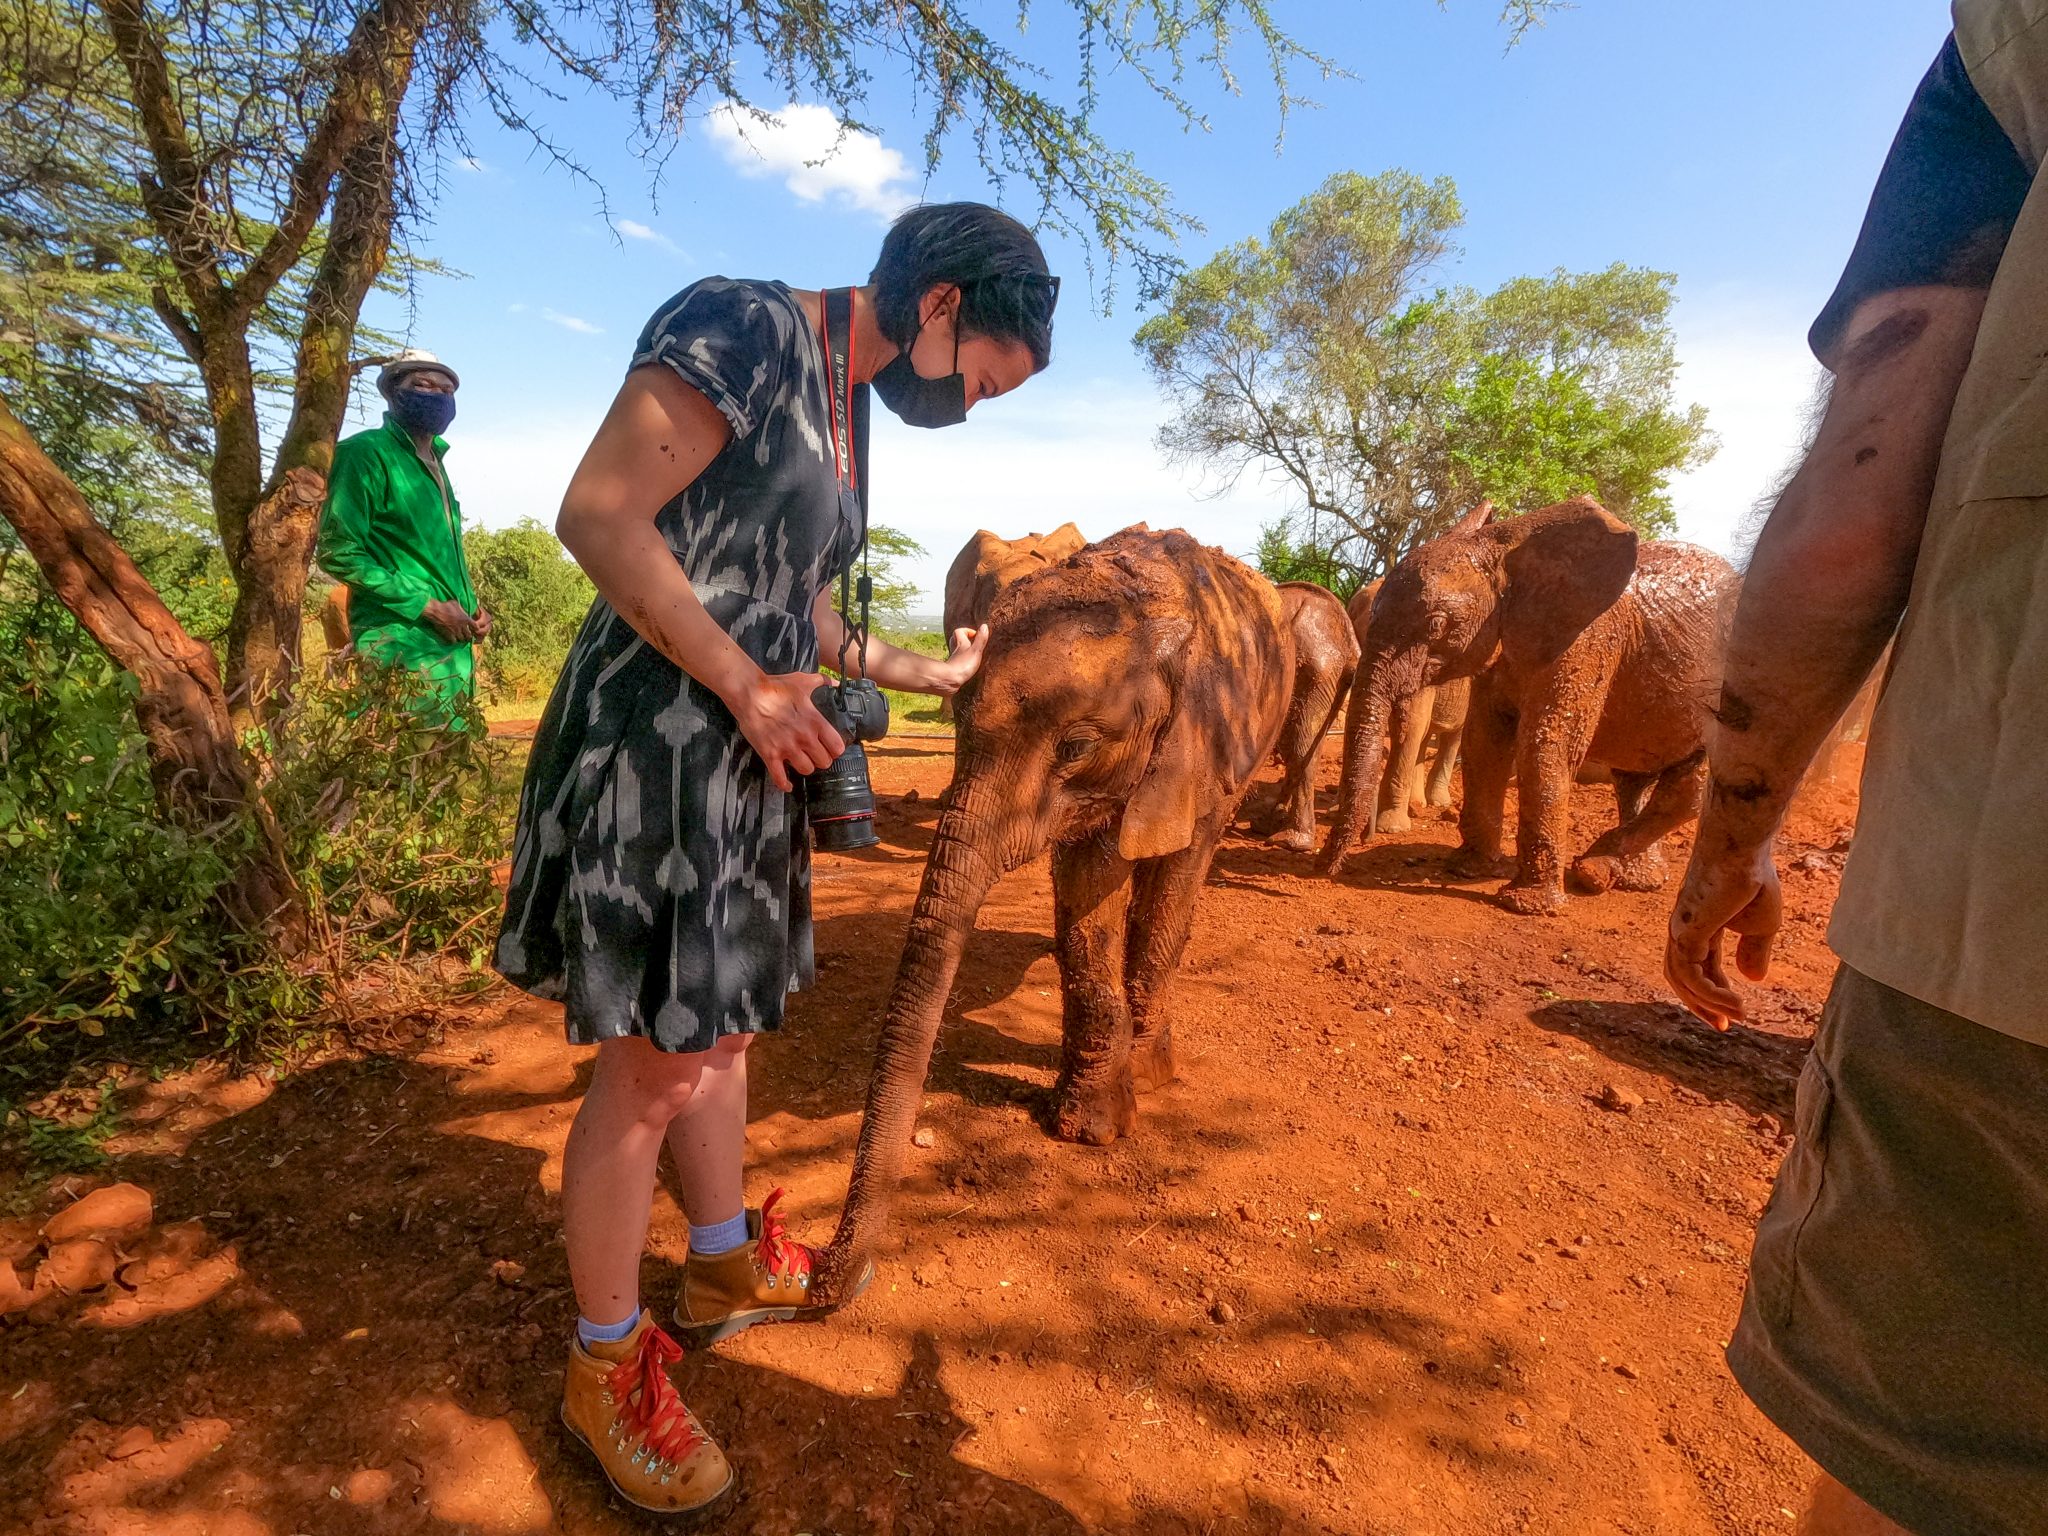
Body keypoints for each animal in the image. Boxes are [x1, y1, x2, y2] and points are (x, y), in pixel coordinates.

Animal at [806, 528, 1286, 1302]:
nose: (827, 1274)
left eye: (1077, 748)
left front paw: (1100, 1122)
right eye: (958, 721)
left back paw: (1155, 1065)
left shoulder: (1199, 740)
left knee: (1183, 871)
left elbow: (1154, 869)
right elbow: (1087, 889)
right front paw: (1091, 1123)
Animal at [1318, 501, 1736, 913]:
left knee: (1692, 785)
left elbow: (1544, 744)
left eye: (1436, 625)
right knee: (1635, 779)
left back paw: (1593, 868)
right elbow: (1484, 739)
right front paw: (1468, 868)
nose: (1328, 867)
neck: (1507, 545)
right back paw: (1634, 879)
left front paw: (1527, 904)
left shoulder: (1587, 641)